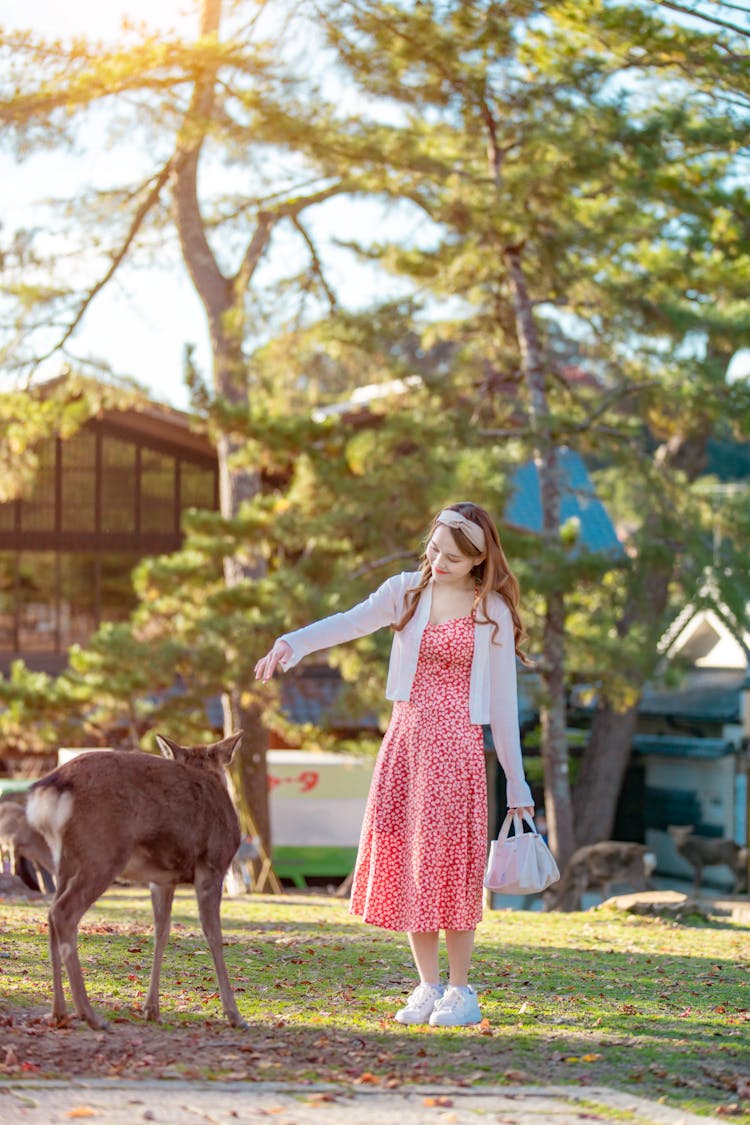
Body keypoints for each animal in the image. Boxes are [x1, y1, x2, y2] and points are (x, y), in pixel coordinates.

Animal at [24, 733, 244, 1030]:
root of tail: (51, 787)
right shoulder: (212, 865)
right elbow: (214, 935)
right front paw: (234, 1014)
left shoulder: (162, 880)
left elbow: (161, 932)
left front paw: (152, 1009)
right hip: (102, 853)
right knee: (63, 912)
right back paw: (90, 1015)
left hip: (64, 859)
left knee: (50, 914)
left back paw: (59, 1012)